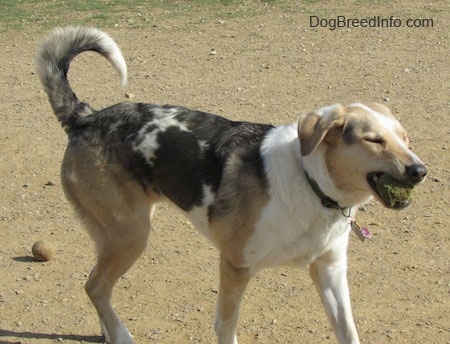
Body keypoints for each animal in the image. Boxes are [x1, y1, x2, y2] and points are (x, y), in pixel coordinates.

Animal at [35, 27, 426, 344]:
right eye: (373, 140)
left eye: (406, 137)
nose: (420, 170)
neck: (311, 184)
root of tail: (85, 116)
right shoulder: (236, 267)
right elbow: (226, 326)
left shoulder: (329, 270)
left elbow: (348, 330)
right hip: (131, 234)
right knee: (95, 286)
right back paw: (121, 336)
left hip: (116, 235)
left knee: (99, 287)